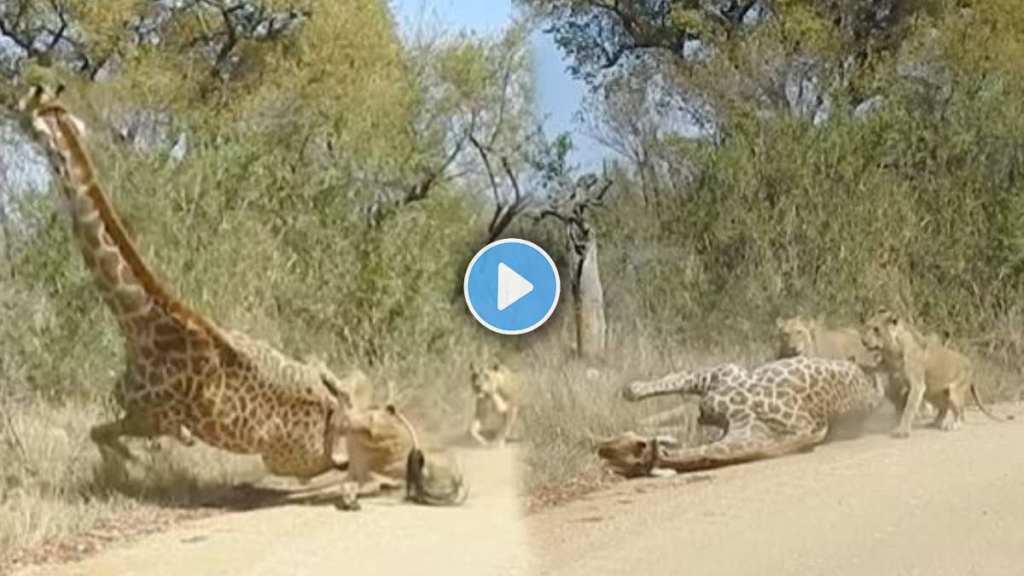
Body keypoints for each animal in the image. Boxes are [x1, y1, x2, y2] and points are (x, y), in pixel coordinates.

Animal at [14, 83, 362, 479]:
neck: (135, 320)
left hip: (289, 460)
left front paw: (135, 467)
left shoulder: (152, 418)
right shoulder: (136, 412)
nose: (9, 107)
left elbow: (103, 435)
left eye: (26, 108)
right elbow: (103, 436)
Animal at [860, 307, 1011, 436]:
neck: (891, 350)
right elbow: (871, 367)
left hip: (954, 392)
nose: (863, 341)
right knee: (944, 408)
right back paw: (935, 423)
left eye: (876, 329)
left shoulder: (917, 385)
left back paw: (953, 425)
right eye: (868, 326)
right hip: (931, 392)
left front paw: (902, 431)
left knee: (960, 413)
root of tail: (970, 365)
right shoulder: (887, 365)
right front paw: (858, 364)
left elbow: (909, 408)